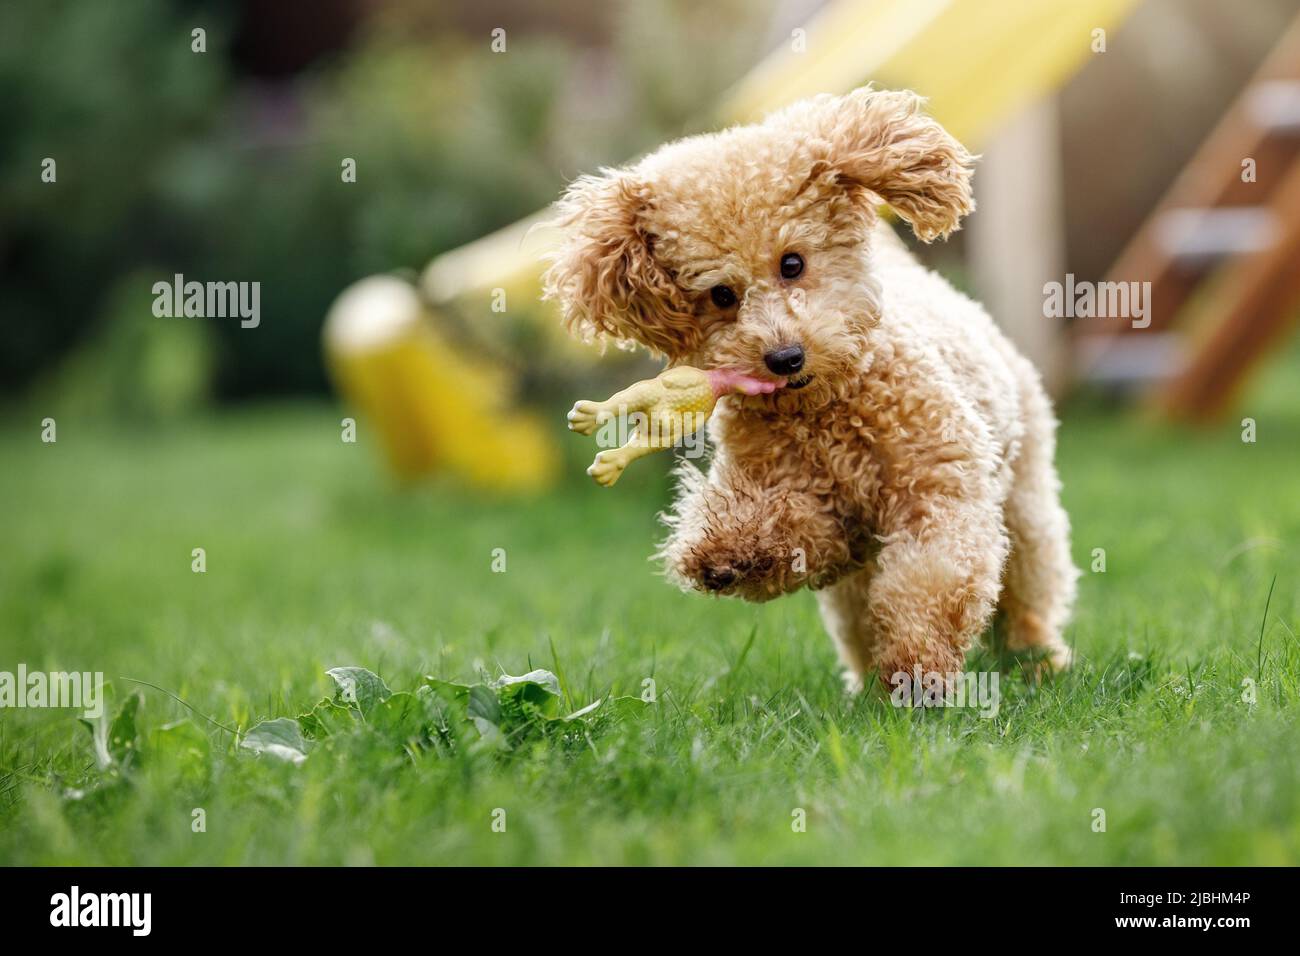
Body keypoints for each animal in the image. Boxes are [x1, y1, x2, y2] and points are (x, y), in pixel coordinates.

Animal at [540, 85, 1076, 691]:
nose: (784, 357)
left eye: (792, 262)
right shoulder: (808, 508)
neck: (825, 410)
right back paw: (868, 682)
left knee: (1028, 584)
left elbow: (931, 578)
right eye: (721, 295)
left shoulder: (938, 488)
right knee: (859, 615)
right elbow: (792, 530)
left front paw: (918, 665)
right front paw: (726, 553)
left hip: (1024, 497)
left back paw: (1035, 658)